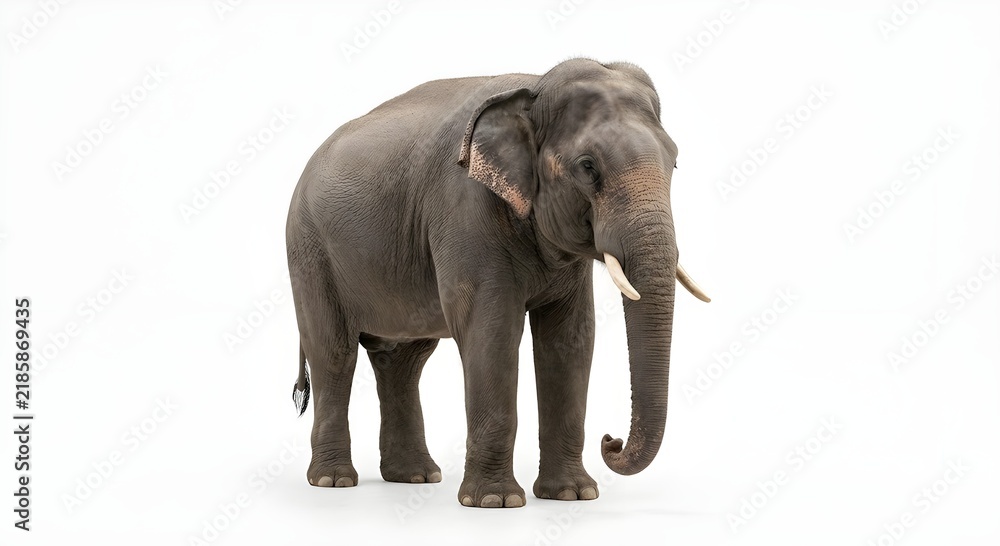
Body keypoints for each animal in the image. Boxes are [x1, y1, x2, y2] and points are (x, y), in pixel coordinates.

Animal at [286, 58, 709, 509]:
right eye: (588, 167)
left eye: (674, 162)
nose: (611, 440)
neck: (535, 87)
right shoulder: (465, 212)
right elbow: (491, 332)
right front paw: (495, 502)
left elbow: (571, 338)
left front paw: (574, 495)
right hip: (309, 252)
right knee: (333, 353)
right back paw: (333, 481)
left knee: (403, 361)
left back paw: (415, 477)